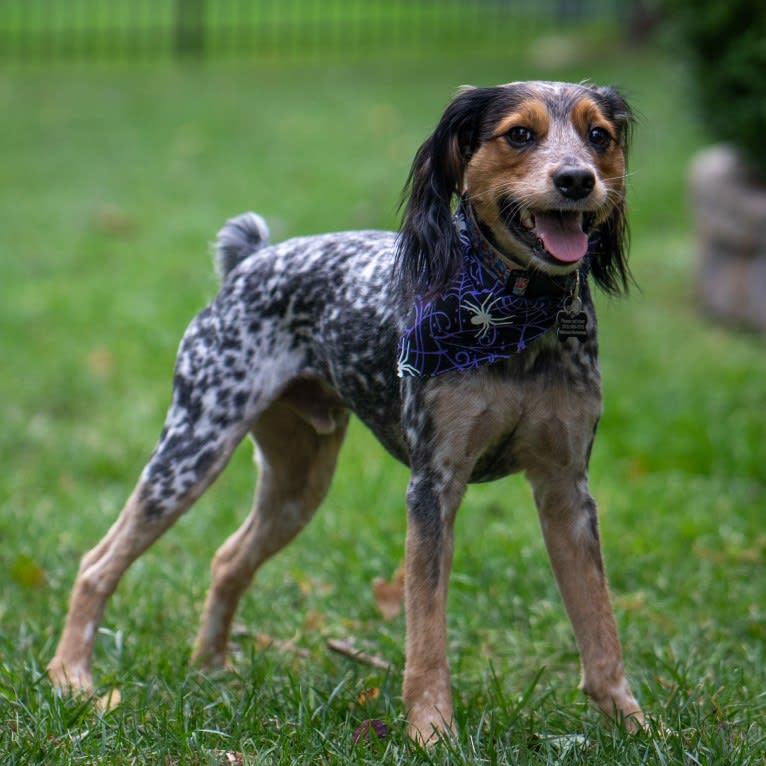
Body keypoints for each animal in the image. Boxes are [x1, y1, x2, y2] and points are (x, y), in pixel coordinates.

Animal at [49, 82, 648, 744]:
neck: (512, 318)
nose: (576, 179)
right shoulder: (433, 486)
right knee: (97, 564)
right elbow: (426, 634)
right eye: (519, 134)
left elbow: (600, 629)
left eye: (599, 136)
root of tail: (249, 262)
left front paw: (634, 724)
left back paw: (211, 669)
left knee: (228, 559)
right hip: (190, 452)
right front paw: (432, 730)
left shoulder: (566, 490)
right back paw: (73, 678)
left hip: (298, 484)